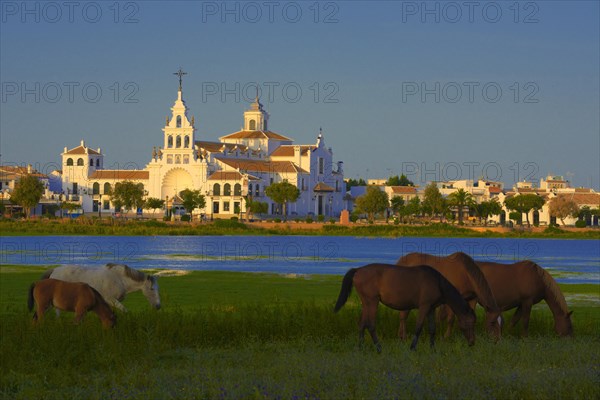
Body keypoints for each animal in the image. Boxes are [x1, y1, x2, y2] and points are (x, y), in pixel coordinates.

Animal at [332, 264, 474, 352]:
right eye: (470, 322)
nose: (472, 343)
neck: (437, 282)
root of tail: (358, 270)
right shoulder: (424, 307)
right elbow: (418, 327)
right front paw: (412, 347)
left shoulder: (431, 309)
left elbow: (432, 329)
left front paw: (433, 348)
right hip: (372, 302)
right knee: (371, 325)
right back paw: (379, 348)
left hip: (366, 303)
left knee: (362, 324)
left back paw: (360, 347)